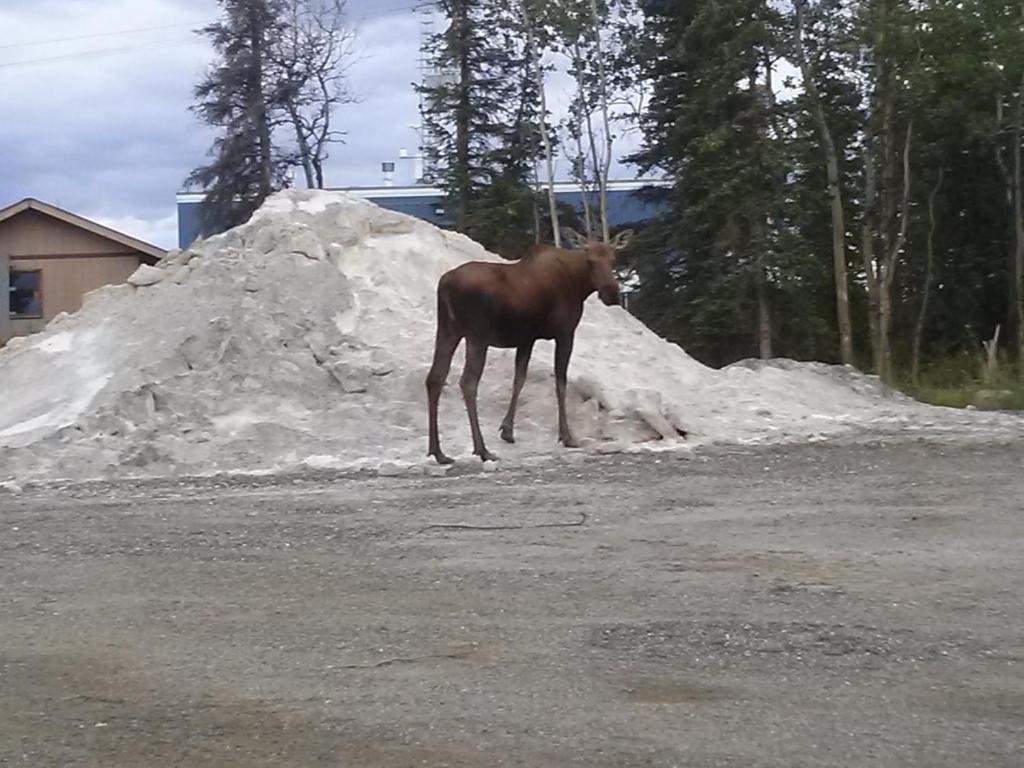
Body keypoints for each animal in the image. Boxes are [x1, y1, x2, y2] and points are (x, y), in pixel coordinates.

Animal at [423, 228, 630, 466]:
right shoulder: (565, 333)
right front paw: (567, 437)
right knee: (468, 382)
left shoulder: (526, 339)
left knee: (435, 378)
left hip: (448, 330)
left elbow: (519, 380)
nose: (611, 293)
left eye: (613, 258)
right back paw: (482, 450)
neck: (579, 286)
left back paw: (438, 452)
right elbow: (560, 383)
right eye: (590, 260)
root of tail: (445, 283)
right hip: (477, 335)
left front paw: (507, 430)